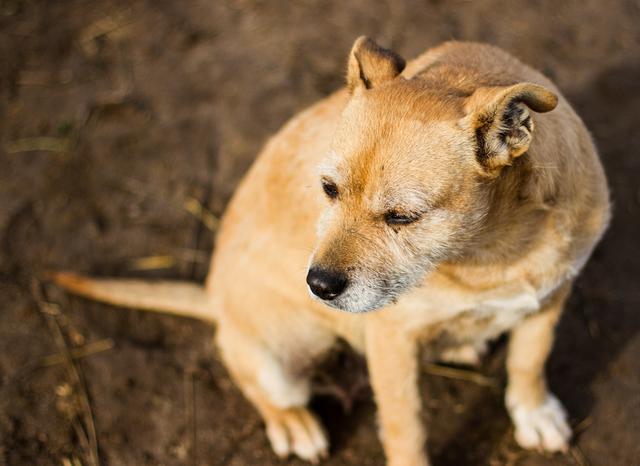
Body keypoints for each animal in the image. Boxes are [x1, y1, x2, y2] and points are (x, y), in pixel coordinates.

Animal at [53, 37, 608, 466]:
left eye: (402, 217)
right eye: (328, 189)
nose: (317, 285)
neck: (492, 249)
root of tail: (213, 298)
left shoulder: (550, 299)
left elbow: (530, 360)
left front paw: (534, 413)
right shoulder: (391, 341)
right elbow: (406, 427)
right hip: (273, 365)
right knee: (260, 388)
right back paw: (293, 424)